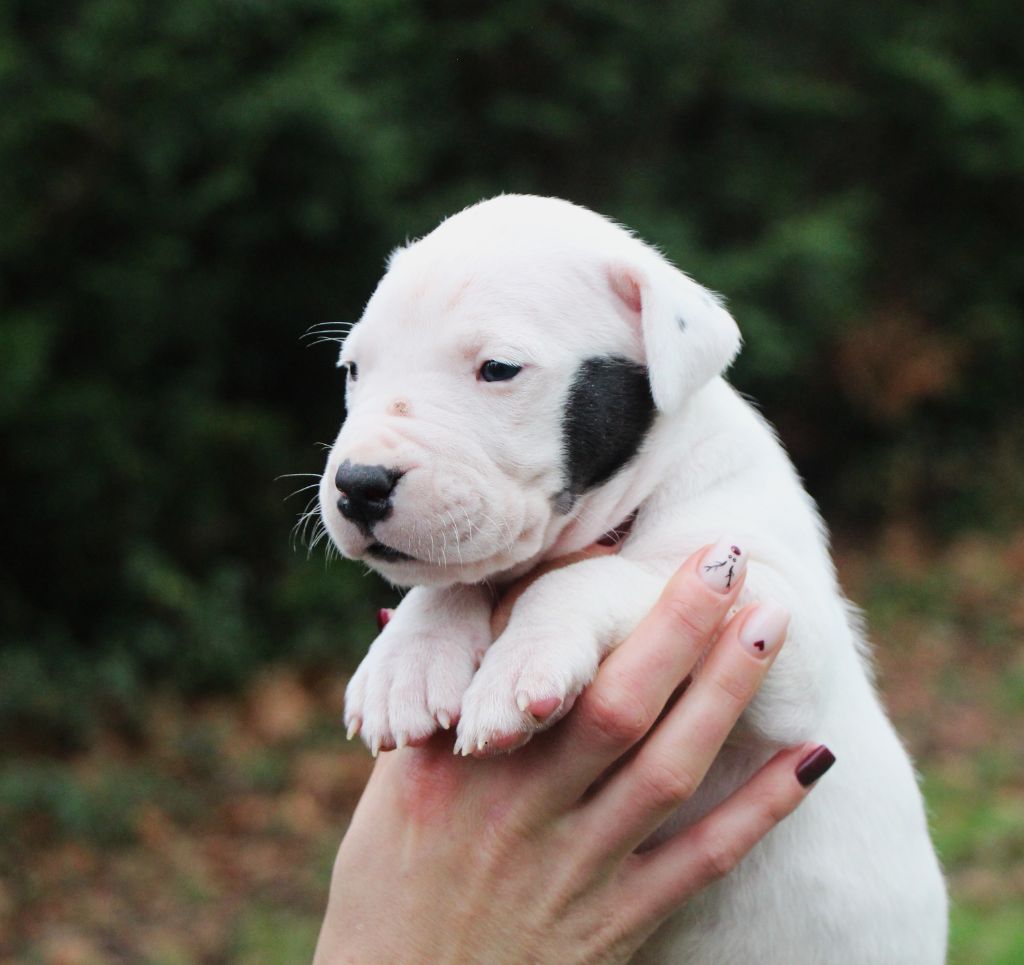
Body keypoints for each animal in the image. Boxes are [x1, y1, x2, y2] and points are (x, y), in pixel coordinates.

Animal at [315, 192, 946, 962]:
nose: (358, 484)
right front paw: (406, 660)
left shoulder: (782, 624)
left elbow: (595, 578)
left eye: (497, 368)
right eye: (353, 370)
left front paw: (521, 660)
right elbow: (454, 577)